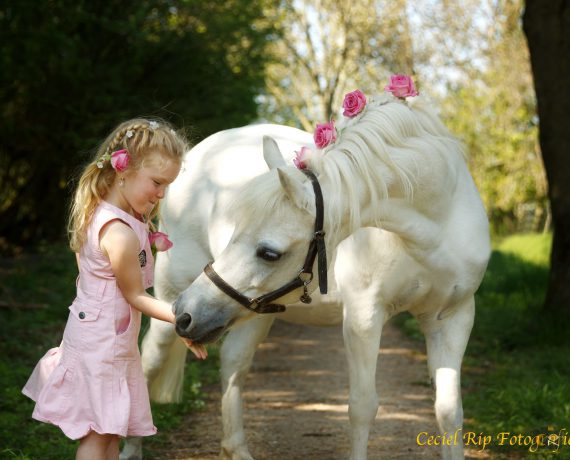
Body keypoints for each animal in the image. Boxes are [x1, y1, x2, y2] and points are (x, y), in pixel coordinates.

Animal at [118, 93, 488, 460]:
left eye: (269, 253)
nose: (187, 313)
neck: (435, 225)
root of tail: (195, 154)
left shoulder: (453, 318)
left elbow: (448, 412)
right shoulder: (364, 317)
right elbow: (362, 408)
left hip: (248, 311)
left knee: (233, 364)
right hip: (171, 299)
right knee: (149, 360)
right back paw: (131, 449)